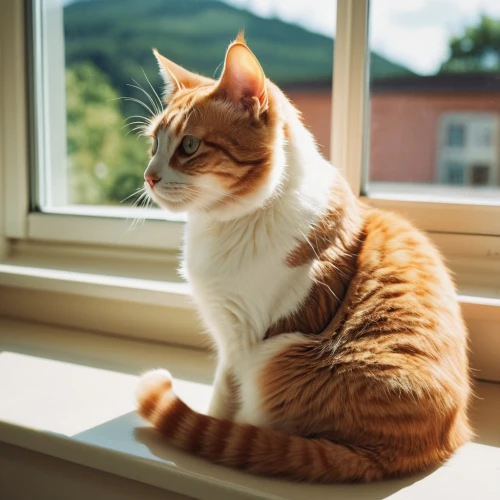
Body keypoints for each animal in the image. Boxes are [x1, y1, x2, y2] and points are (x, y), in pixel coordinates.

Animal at [135, 33, 470, 482]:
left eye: (189, 145)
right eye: (155, 144)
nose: (148, 177)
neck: (226, 225)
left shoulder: (242, 338)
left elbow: (223, 396)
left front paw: (213, 423)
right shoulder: (229, 334)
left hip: (275, 357)